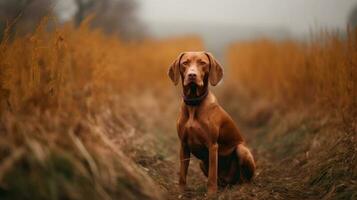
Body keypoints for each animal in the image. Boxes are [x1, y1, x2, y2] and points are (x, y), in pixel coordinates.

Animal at [168, 50, 254, 195]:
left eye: (202, 63)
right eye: (185, 63)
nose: (192, 75)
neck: (194, 103)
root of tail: (230, 181)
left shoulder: (212, 146)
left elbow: (212, 175)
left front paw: (211, 194)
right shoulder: (184, 145)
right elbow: (182, 174)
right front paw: (181, 192)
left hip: (242, 150)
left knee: (246, 179)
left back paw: (244, 188)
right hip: (202, 163)